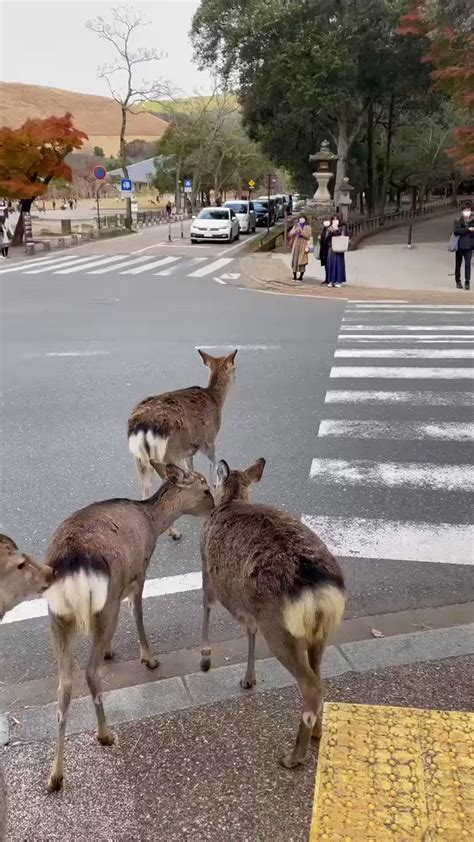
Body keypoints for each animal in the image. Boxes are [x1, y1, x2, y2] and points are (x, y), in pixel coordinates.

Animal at [44, 462, 215, 792]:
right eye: (205, 488)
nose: (214, 508)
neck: (152, 521)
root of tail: (72, 567)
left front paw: (111, 651)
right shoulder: (140, 570)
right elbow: (137, 612)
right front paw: (149, 658)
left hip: (57, 617)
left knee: (64, 685)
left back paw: (55, 775)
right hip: (104, 601)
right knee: (90, 672)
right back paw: (104, 734)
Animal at [128, 348, 237, 540]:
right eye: (234, 367)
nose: (236, 376)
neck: (215, 400)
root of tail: (142, 427)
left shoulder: (187, 450)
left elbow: (191, 466)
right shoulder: (209, 440)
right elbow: (212, 465)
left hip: (139, 459)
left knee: (145, 488)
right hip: (167, 454)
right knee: (166, 482)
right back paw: (174, 532)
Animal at [199, 460, 344, 768]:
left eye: (214, 482)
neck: (232, 501)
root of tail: (317, 591)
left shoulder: (206, 567)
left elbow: (206, 606)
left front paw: (205, 659)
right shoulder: (251, 609)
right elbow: (249, 630)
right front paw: (248, 679)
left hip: (280, 629)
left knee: (310, 685)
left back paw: (294, 756)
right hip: (320, 632)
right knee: (319, 677)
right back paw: (317, 733)